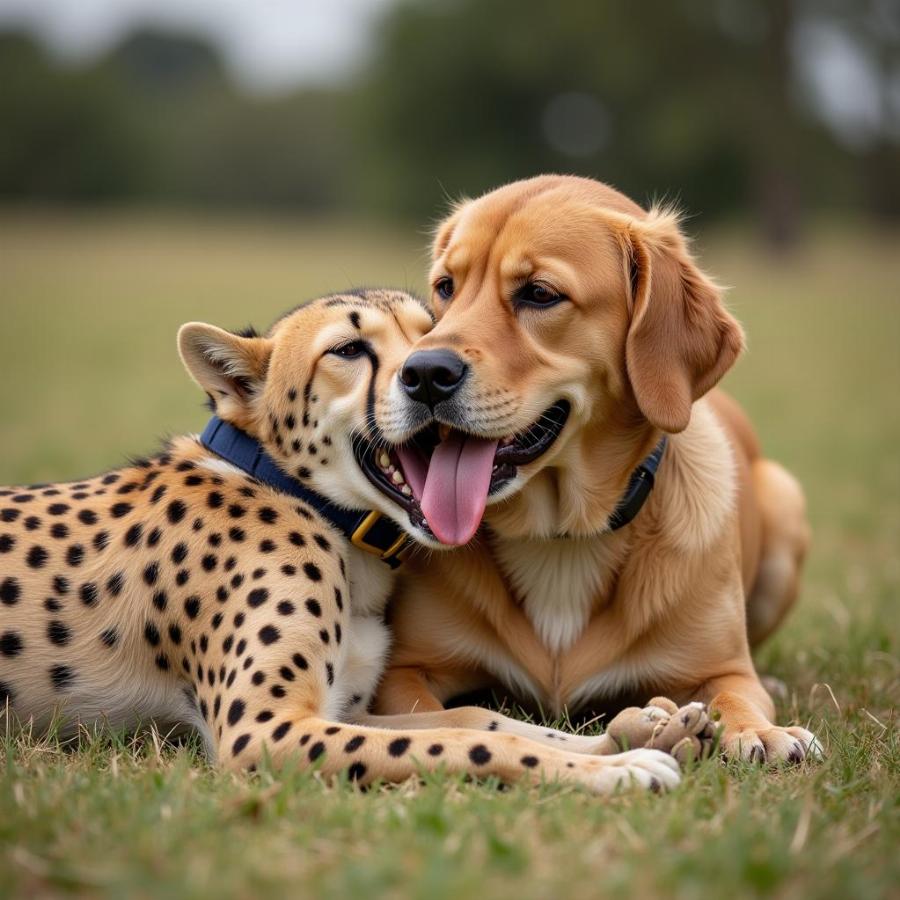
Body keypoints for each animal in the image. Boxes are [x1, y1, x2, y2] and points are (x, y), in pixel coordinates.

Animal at [372, 176, 816, 768]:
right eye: (446, 286)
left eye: (539, 293)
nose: (420, 373)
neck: (563, 535)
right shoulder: (404, 672)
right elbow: (453, 713)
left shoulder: (724, 671)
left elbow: (734, 697)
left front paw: (761, 730)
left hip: (786, 508)